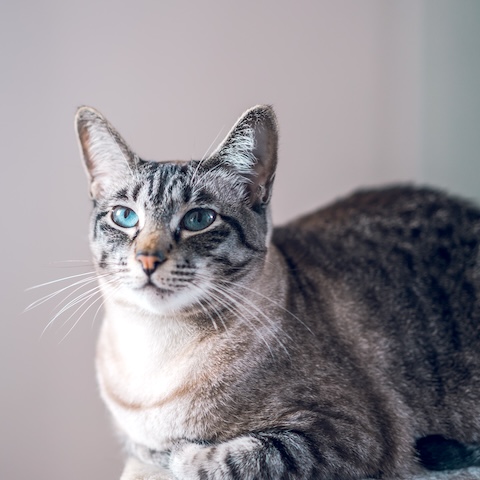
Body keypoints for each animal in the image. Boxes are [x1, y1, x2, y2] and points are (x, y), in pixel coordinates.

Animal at [75, 105, 480, 480]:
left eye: (198, 219)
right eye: (125, 217)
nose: (147, 259)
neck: (155, 354)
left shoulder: (345, 436)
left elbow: (224, 458)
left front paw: (179, 452)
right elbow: (149, 448)